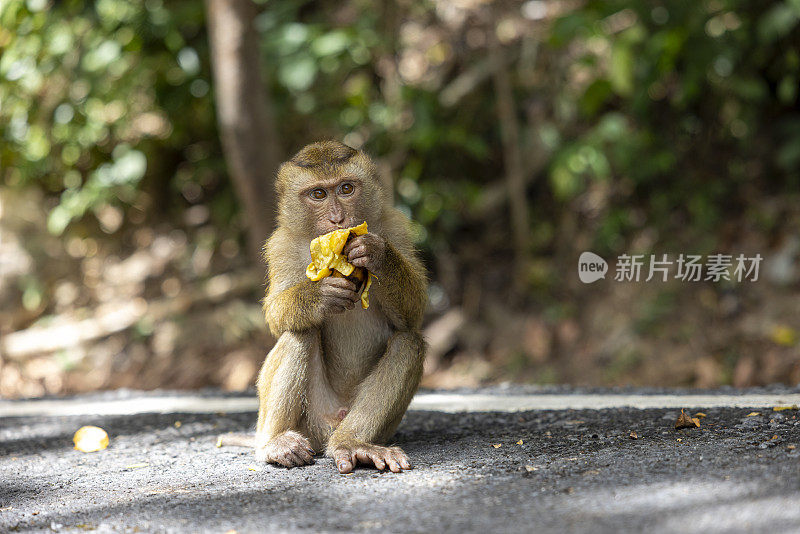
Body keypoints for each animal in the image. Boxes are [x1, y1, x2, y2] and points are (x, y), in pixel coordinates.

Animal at [216, 140, 428, 476]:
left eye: (346, 188)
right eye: (318, 194)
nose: (338, 220)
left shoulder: (395, 226)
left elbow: (412, 316)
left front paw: (375, 253)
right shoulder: (280, 245)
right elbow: (275, 314)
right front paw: (319, 296)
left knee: (409, 343)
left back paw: (352, 443)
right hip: (310, 420)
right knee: (299, 332)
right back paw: (274, 443)